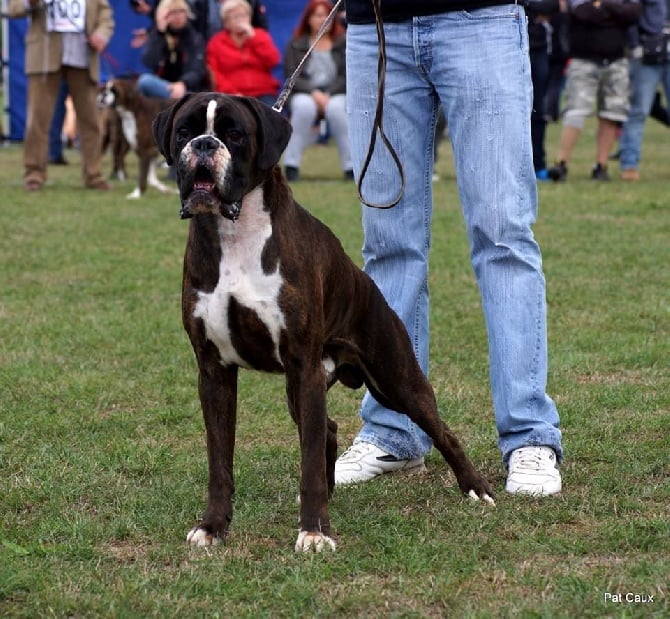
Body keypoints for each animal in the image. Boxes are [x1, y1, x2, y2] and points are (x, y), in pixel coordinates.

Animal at [154, 94, 498, 556]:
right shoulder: (214, 372)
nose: (205, 145)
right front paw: (213, 526)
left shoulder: (303, 365)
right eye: (184, 132)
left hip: (396, 381)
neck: (236, 236)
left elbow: (309, 460)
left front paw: (314, 531)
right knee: (328, 429)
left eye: (234, 134)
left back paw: (476, 488)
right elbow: (220, 461)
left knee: (441, 431)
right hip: (307, 386)